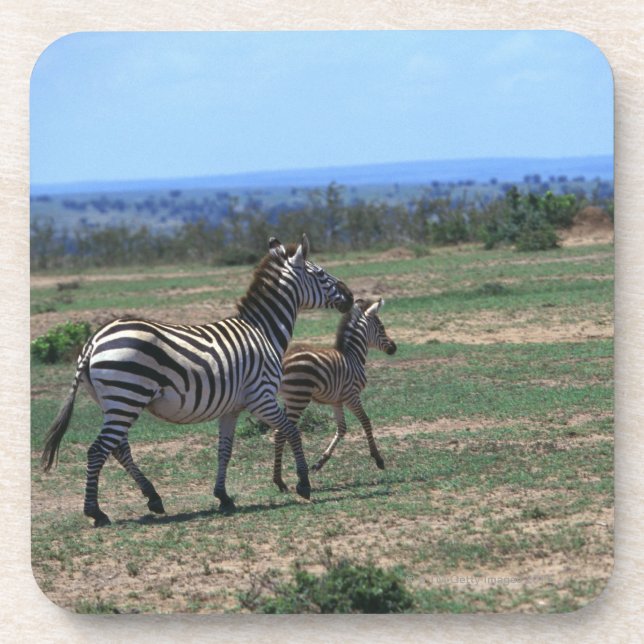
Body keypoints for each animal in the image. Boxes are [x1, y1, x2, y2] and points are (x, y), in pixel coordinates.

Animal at [41, 235, 353, 526]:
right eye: (321, 274)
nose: (350, 296)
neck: (263, 331)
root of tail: (94, 341)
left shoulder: (232, 407)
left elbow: (224, 450)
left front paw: (223, 497)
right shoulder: (261, 396)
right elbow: (291, 431)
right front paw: (303, 484)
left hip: (113, 401)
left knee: (118, 447)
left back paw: (153, 498)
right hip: (127, 396)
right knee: (98, 450)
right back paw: (96, 512)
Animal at [273, 298, 396, 489]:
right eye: (382, 327)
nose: (394, 348)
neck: (352, 356)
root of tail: (283, 360)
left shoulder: (336, 400)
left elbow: (342, 428)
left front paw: (320, 462)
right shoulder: (351, 395)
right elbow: (366, 422)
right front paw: (378, 459)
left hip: (291, 398)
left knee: (280, 431)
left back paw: (280, 480)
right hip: (299, 398)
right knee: (281, 432)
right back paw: (279, 481)